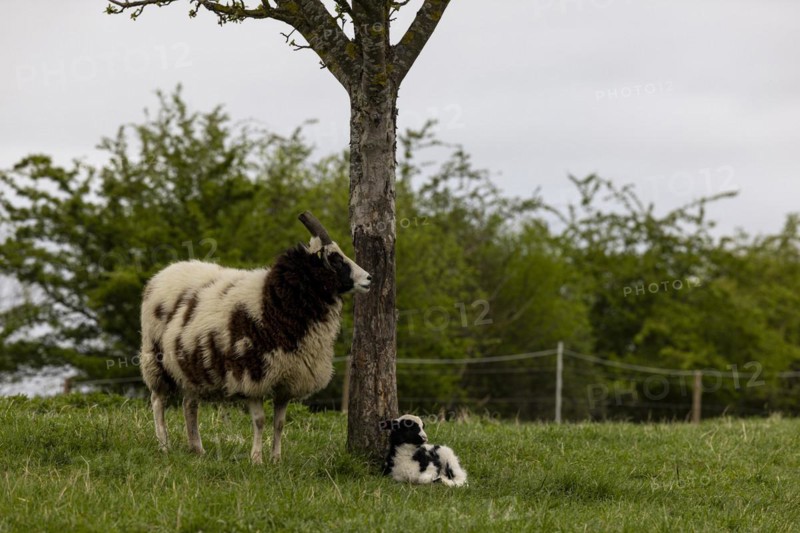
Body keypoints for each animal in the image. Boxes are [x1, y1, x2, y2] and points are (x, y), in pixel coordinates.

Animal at [139, 212, 371, 463]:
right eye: (335, 258)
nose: (369, 278)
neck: (272, 301)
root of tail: (164, 273)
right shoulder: (251, 375)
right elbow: (259, 421)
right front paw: (257, 459)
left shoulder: (288, 378)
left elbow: (280, 423)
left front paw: (276, 459)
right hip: (155, 359)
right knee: (158, 401)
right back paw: (164, 445)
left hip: (189, 365)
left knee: (189, 404)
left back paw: (197, 449)